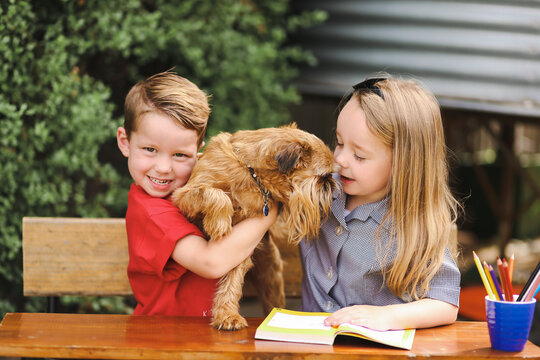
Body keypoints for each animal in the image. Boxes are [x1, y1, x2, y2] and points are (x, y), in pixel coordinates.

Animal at [172, 123, 338, 330]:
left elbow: (232, 281)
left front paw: (227, 315)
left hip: (271, 281)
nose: (333, 186)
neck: (251, 172)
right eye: (323, 177)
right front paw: (219, 222)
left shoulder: (240, 245)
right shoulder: (182, 196)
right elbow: (216, 194)